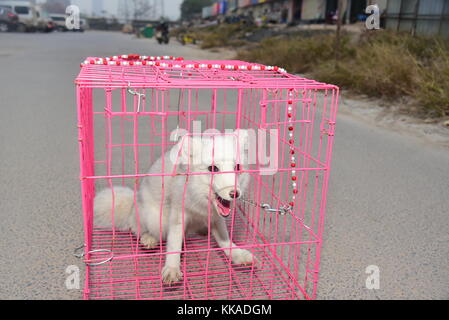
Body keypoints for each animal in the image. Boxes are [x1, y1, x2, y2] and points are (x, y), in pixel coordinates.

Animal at [93, 131, 256, 284]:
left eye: (237, 167)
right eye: (213, 168)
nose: (235, 193)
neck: (200, 201)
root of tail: (134, 202)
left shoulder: (216, 218)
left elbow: (225, 240)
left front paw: (237, 254)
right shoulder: (178, 214)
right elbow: (174, 244)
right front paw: (172, 268)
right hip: (154, 219)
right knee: (137, 228)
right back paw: (148, 238)